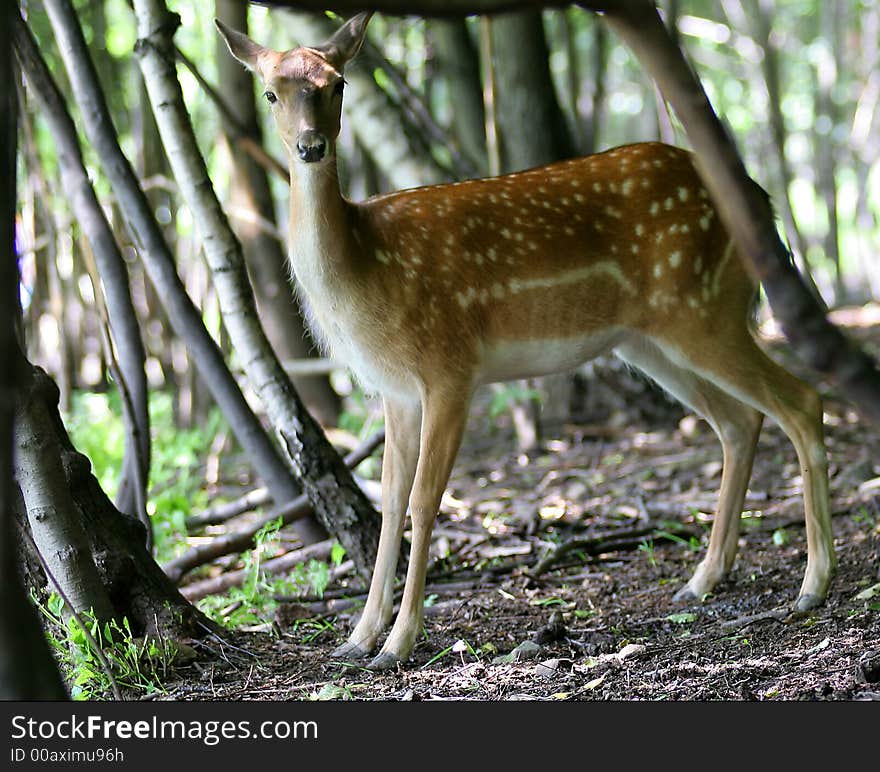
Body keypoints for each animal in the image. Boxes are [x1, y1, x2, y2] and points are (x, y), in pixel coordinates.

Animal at [217, 10, 836, 668]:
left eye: (338, 84)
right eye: (271, 92)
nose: (311, 146)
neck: (368, 269)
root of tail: (765, 200)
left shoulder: (449, 367)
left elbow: (424, 500)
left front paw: (400, 643)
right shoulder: (397, 391)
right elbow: (388, 504)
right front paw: (359, 638)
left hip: (702, 311)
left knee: (801, 401)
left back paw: (813, 583)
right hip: (650, 340)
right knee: (739, 422)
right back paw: (701, 580)